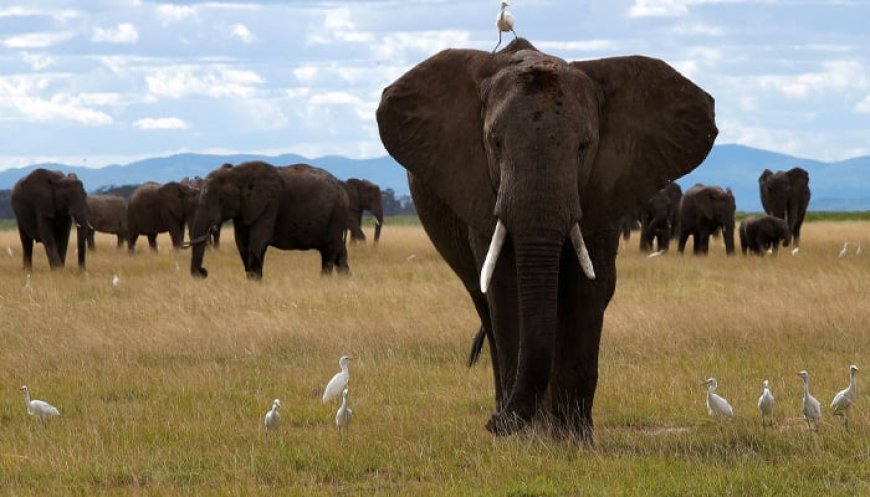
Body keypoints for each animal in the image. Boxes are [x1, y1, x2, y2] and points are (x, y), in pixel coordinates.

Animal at [190, 162, 350, 280]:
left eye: (220, 200)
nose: (204, 272)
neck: (236, 173)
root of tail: (342, 187)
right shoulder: (243, 212)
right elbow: (242, 245)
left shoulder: (269, 205)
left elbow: (257, 244)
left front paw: (256, 285)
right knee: (338, 253)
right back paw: (346, 281)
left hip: (337, 213)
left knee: (329, 251)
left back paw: (325, 281)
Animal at [378, 38, 720, 438]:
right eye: (494, 142)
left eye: (584, 146)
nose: (492, 423)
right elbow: (505, 288)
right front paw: (525, 438)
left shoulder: (606, 189)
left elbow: (587, 288)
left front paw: (573, 440)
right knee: (483, 301)